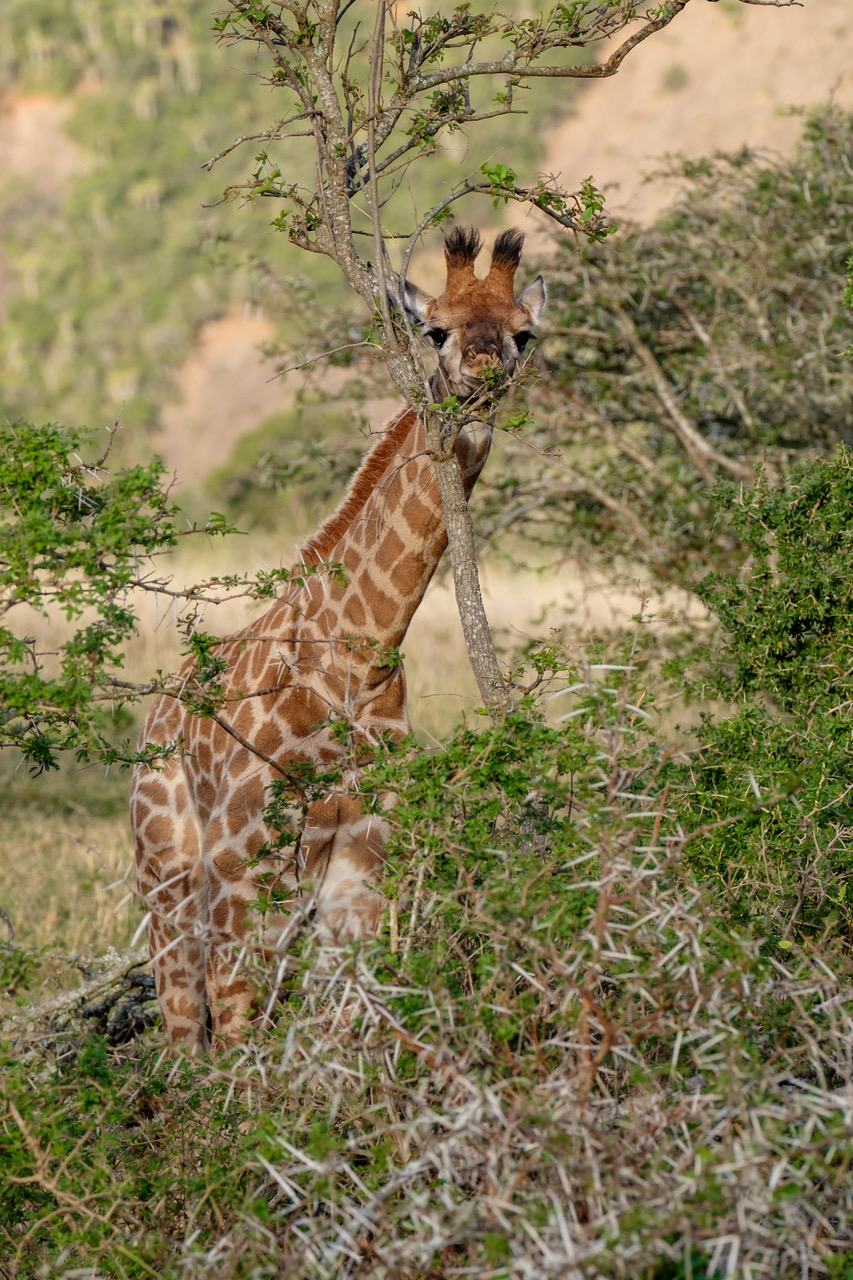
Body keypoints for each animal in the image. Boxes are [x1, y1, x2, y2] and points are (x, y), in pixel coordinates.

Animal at [133, 227, 545, 1049]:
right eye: (435, 329)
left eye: (524, 334)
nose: (481, 379)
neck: (356, 653)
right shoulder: (241, 858)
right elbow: (239, 1031)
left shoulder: (362, 856)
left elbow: (339, 1027)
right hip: (168, 880)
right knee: (185, 1032)